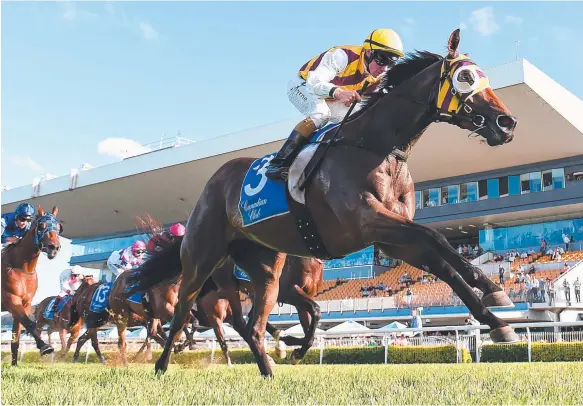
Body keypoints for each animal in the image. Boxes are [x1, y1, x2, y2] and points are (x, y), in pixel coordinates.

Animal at [0, 206, 64, 364]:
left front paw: (14, 365)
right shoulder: (11, 299)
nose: (54, 247)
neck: (22, 268)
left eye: (59, 227)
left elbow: (16, 339)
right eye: (41, 226)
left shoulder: (25, 303)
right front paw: (45, 347)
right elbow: (29, 324)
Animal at [132, 28, 520, 378]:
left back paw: (269, 366)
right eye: (465, 77)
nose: (507, 122)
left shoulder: (392, 239)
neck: (376, 147)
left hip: (265, 270)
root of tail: (213, 185)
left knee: (252, 325)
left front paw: (495, 313)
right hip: (202, 259)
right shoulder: (368, 222)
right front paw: (493, 292)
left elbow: (444, 263)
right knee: (182, 312)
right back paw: (162, 366)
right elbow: (437, 239)